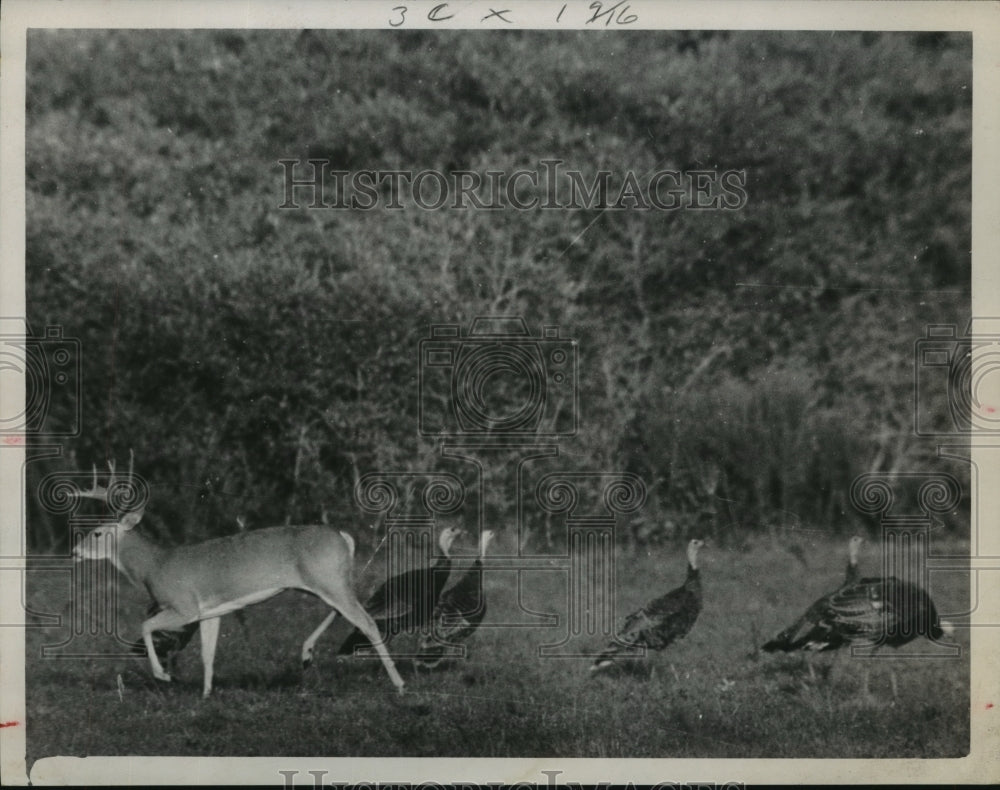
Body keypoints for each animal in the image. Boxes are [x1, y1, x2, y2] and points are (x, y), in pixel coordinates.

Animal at [69, 458, 406, 700]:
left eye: (96, 533)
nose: (74, 551)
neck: (154, 566)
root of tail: (344, 537)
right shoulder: (210, 611)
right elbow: (208, 653)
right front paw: (206, 694)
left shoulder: (183, 606)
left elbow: (145, 625)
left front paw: (164, 675)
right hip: (325, 582)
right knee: (345, 611)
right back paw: (306, 654)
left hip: (328, 581)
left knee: (367, 621)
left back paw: (399, 683)